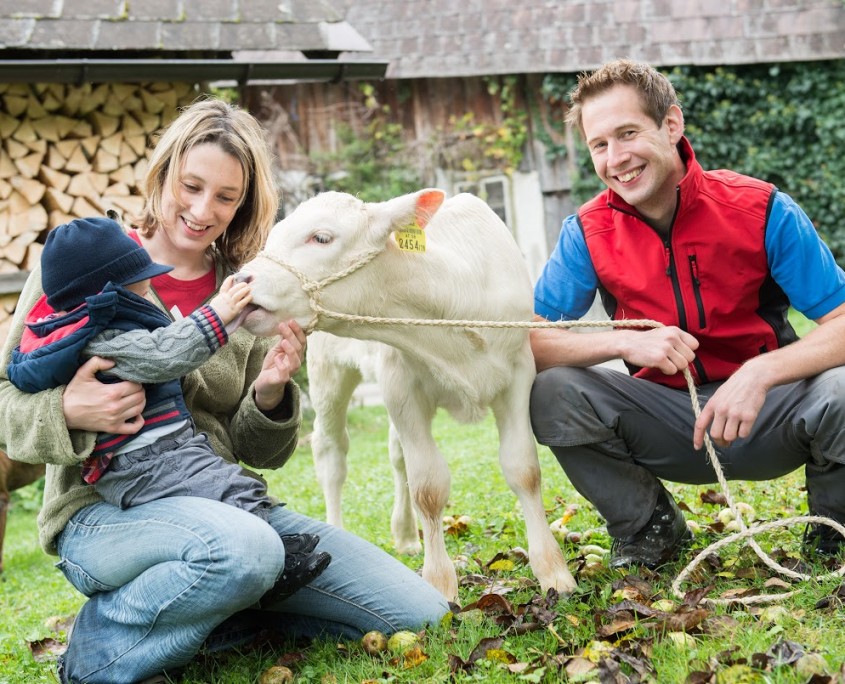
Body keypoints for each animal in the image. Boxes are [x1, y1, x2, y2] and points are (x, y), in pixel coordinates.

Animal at [241, 190, 576, 600]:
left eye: (321, 237)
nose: (240, 280)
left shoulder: (517, 373)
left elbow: (523, 469)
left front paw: (553, 571)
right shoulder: (399, 383)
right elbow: (429, 486)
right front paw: (441, 584)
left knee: (396, 453)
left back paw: (405, 535)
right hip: (328, 373)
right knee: (331, 453)